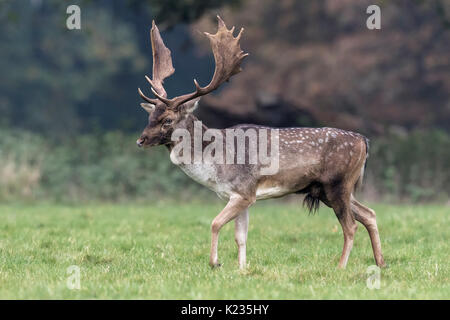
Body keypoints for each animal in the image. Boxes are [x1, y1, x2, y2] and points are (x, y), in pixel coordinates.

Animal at [135, 15, 384, 270]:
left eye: (167, 120)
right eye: (150, 116)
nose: (140, 140)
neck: (214, 165)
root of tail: (364, 141)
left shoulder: (244, 190)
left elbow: (215, 223)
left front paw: (215, 263)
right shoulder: (238, 196)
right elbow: (240, 237)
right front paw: (242, 269)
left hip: (337, 183)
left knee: (351, 226)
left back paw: (341, 267)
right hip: (329, 189)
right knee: (370, 214)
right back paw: (381, 263)